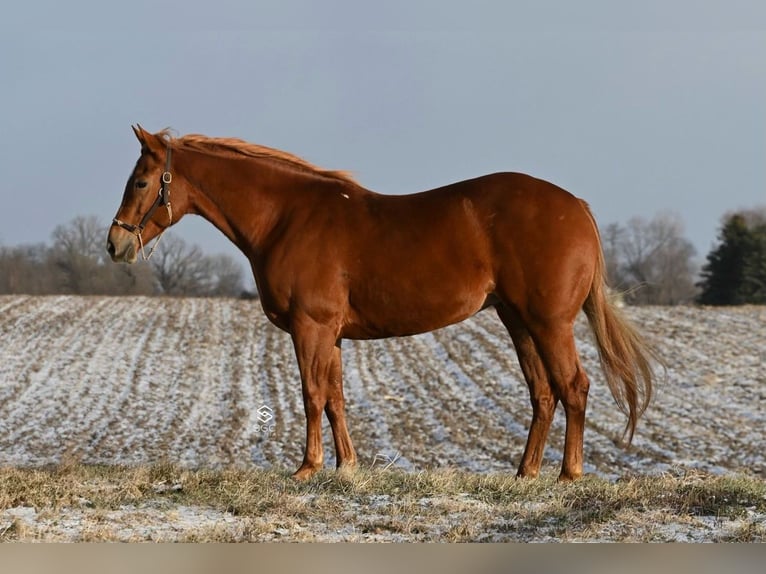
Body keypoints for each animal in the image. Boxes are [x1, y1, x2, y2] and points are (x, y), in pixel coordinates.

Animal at [108, 126, 660, 482]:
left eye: (141, 181)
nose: (115, 244)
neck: (286, 217)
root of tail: (576, 208)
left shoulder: (311, 327)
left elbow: (311, 395)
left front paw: (307, 468)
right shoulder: (329, 334)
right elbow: (335, 398)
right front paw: (345, 467)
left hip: (550, 323)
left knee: (574, 387)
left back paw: (568, 475)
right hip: (518, 321)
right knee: (543, 393)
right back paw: (525, 474)